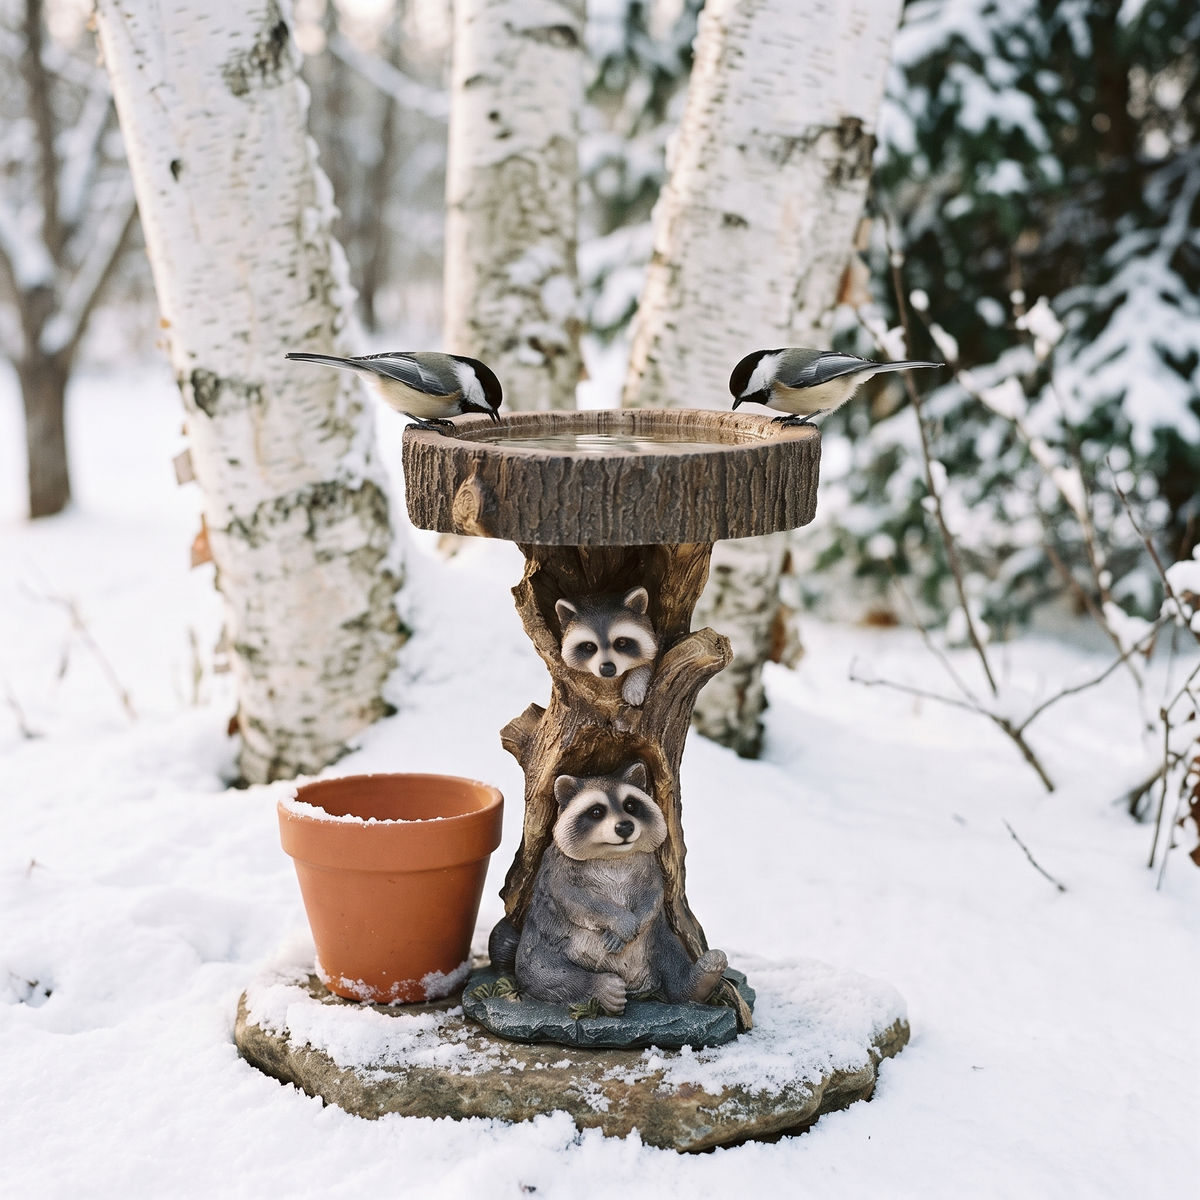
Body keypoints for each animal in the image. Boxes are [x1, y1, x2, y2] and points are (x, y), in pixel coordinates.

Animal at [504, 762, 728, 1016]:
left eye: (630, 805)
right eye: (596, 812)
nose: (625, 827)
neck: (612, 856)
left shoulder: (649, 864)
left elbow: (653, 896)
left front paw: (632, 922)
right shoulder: (556, 867)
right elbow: (575, 899)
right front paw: (619, 921)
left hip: (657, 939)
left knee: (672, 956)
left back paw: (699, 980)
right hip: (543, 940)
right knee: (541, 971)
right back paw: (601, 988)